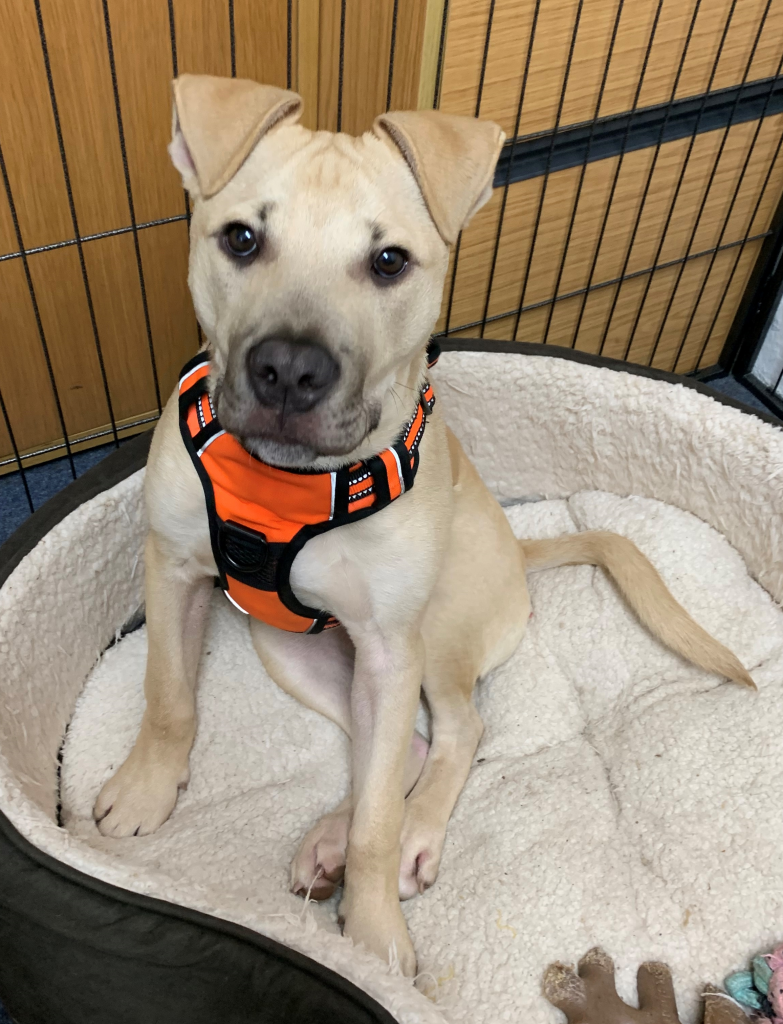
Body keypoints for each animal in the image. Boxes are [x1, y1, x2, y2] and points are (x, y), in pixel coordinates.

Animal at [91, 74, 753, 974]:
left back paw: (408, 838)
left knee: (456, 732)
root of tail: (518, 545)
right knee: (395, 746)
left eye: (388, 262)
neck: (287, 485)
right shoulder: (173, 570)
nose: (287, 370)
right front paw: (147, 789)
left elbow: (379, 818)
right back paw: (328, 841)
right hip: (288, 647)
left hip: (431, 639)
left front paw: (371, 937)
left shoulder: (388, 647)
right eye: (240, 239)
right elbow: (167, 694)